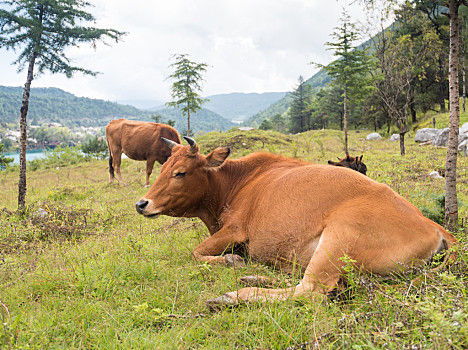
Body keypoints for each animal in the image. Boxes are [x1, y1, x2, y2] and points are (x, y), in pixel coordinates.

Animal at [135, 138, 458, 308]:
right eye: (162, 168)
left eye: (180, 172)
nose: (141, 203)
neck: (237, 181)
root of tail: (433, 225)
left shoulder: (234, 229)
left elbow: (196, 253)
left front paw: (230, 261)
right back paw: (253, 277)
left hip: (338, 237)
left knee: (311, 289)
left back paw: (234, 294)